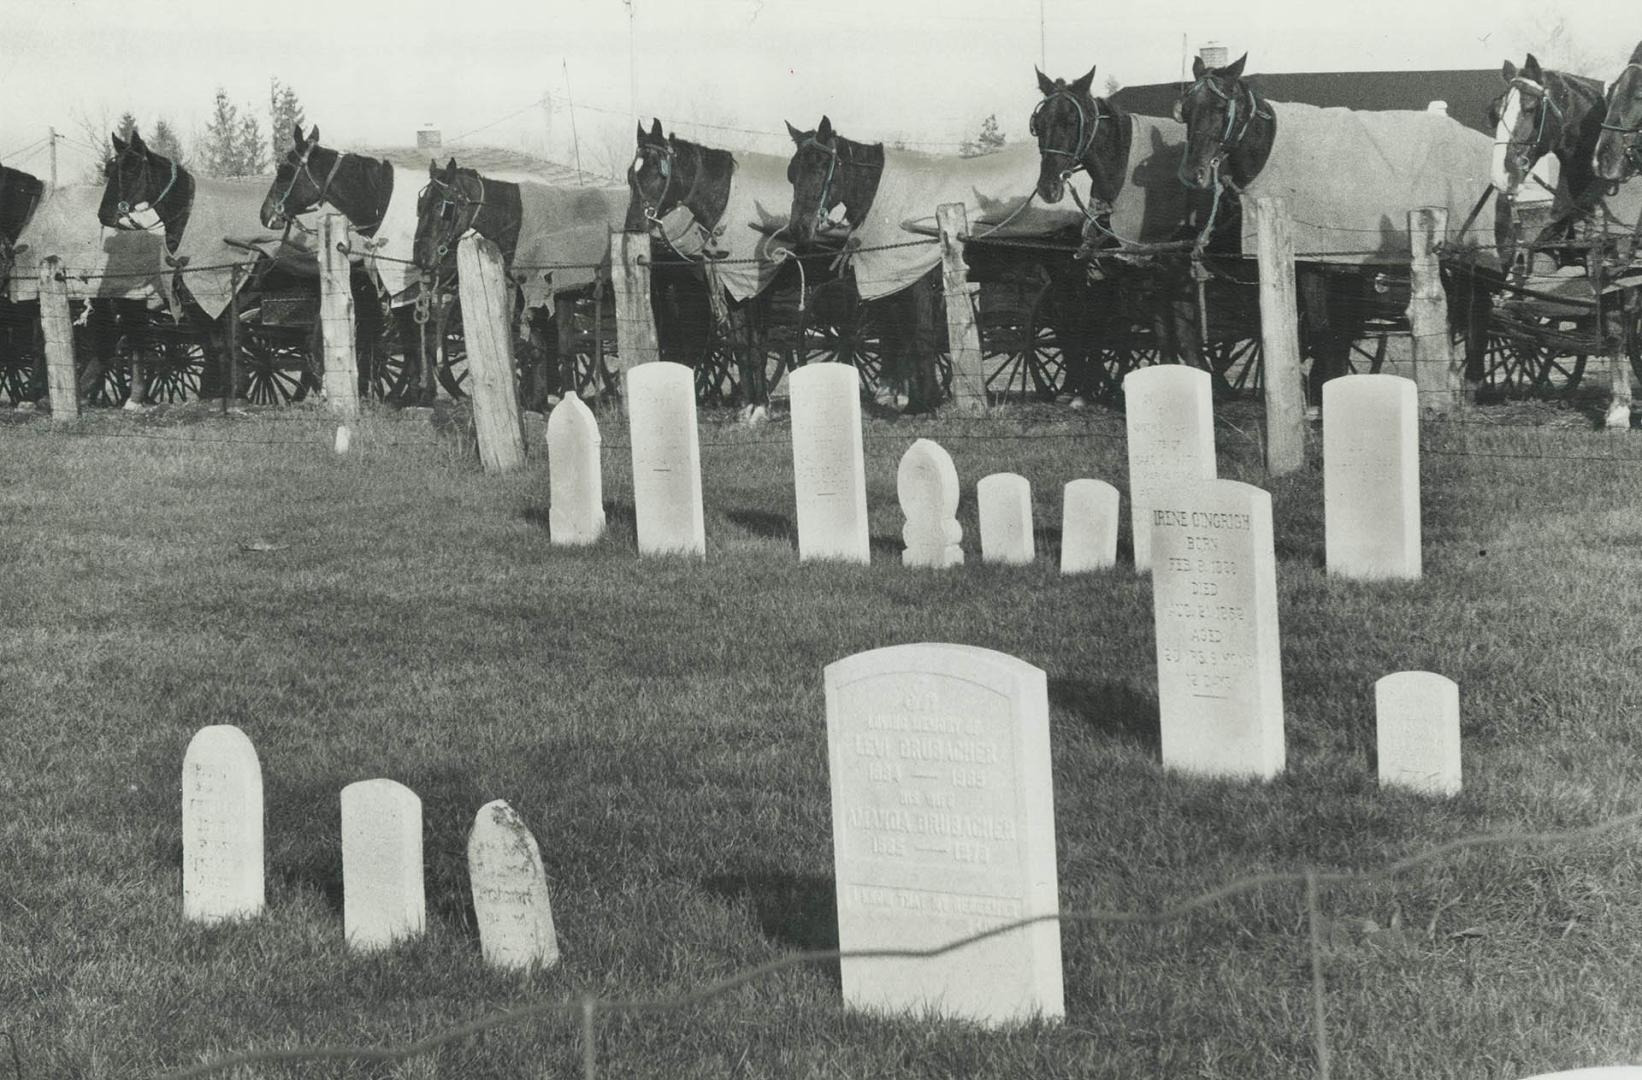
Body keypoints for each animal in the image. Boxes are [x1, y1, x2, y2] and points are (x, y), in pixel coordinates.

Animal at [259, 123, 426, 398]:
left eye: (284, 170)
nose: (265, 214)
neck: (383, 202)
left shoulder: (406, 288)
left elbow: (414, 338)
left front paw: (415, 394)